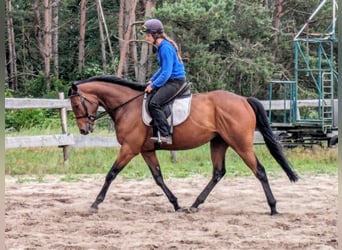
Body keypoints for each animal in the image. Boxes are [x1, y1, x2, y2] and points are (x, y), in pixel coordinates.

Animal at [67, 74, 296, 215]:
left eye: (77, 104)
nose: (84, 130)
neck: (127, 106)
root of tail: (243, 100)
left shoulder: (129, 148)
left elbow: (111, 174)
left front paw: (95, 203)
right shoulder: (146, 150)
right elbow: (158, 177)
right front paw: (176, 204)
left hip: (241, 144)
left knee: (260, 171)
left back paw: (273, 208)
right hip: (219, 142)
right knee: (218, 172)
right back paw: (194, 205)